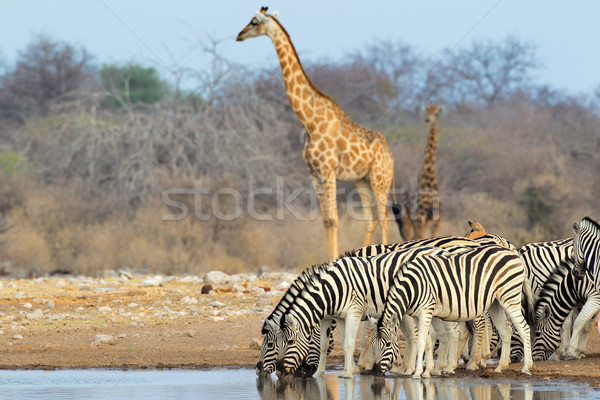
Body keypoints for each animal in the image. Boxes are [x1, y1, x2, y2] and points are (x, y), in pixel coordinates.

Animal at [237, 8, 396, 260]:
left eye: (253, 22)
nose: (239, 35)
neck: (309, 122)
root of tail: (391, 155)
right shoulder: (313, 173)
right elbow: (325, 220)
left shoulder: (328, 170)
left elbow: (333, 219)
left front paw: (332, 262)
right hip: (363, 179)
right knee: (371, 219)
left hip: (380, 178)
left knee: (384, 216)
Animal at [370, 244, 536, 378]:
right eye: (373, 345)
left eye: (388, 345)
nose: (375, 372)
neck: (412, 286)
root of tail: (513, 252)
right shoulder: (420, 315)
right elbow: (427, 342)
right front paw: (427, 371)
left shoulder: (426, 311)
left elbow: (421, 341)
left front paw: (417, 373)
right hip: (495, 303)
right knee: (506, 331)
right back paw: (500, 367)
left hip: (510, 296)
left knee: (524, 328)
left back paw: (526, 367)